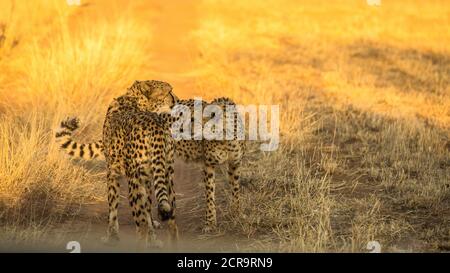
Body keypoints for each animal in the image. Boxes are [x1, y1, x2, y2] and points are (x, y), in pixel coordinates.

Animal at [57, 79, 180, 243]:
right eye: (168, 92)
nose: (177, 100)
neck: (135, 100)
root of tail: (156, 124)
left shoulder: (113, 172)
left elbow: (113, 205)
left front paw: (111, 235)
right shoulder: (147, 176)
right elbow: (147, 207)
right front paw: (153, 237)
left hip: (134, 179)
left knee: (140, 225)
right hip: (167, 175)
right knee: (172, 223)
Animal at [58, 84, 246, 231]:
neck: (224, 136)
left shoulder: (235, 164)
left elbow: (236, 191)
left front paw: (237, 213)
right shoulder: (208, 165)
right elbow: (210, 196)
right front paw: (210, 223)